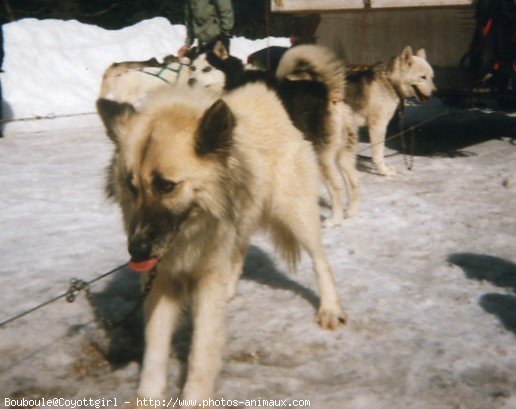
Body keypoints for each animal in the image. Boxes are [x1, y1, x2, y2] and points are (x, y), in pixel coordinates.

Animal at [97, 83, 346, 402]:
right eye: (132, 187)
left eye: (166, 186)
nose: (137, 251)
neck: (190, 231)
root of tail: (268, 97)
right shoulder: (161, 281)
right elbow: (154, 351)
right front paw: (147, 398)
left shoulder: (206, 277)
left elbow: (202, 352)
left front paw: (194, 400)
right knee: (238, 251)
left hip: (296, 216)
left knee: (320, 261)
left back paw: (329, 308)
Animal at [188, 41, 358, 223]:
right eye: (192, 67)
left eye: (207, 69)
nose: (190, 80)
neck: (232, 80)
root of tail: (328, 92)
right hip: (343, 155)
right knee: (353, 182)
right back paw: (351, 213)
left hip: (321, 157)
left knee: (337, 188)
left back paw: (335, 220)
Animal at [346, 46, 436, 175]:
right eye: (422, 77)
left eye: (431, 77)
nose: (435, 92)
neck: (391, 82)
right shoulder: (378, 126)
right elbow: (378, 154)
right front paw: (384, 171)